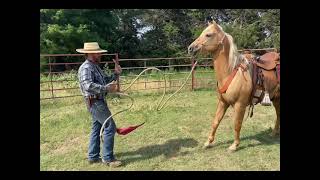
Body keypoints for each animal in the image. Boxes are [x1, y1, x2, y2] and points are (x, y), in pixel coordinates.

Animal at [188, 20, 280, 151]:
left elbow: (237, 124)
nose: (191, 48)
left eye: (208, 35)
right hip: (276, 98)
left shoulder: (239, 105)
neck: (231, 72)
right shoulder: (223, 102)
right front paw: (208, 142)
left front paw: (234, 145)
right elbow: (215, 121)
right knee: (278, 113)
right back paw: (274, 132)